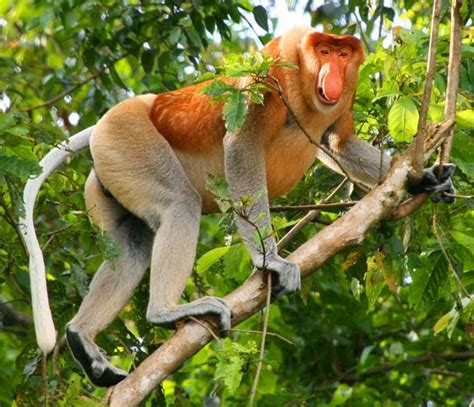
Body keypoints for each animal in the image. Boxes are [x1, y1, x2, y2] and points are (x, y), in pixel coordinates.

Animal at [19, 27, 456, 388]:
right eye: (325, 50)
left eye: (344, 54)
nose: (333, 69)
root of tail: (108, 122)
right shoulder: (271, 74)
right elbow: (242, 149)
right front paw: (271, 260)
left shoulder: (345, 96)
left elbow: (339, 143)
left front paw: (425, 180)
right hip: (128, 139)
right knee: (179, 205)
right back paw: (165, 311)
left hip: (110, 173)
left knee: (130, 245)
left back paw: (81, 338)